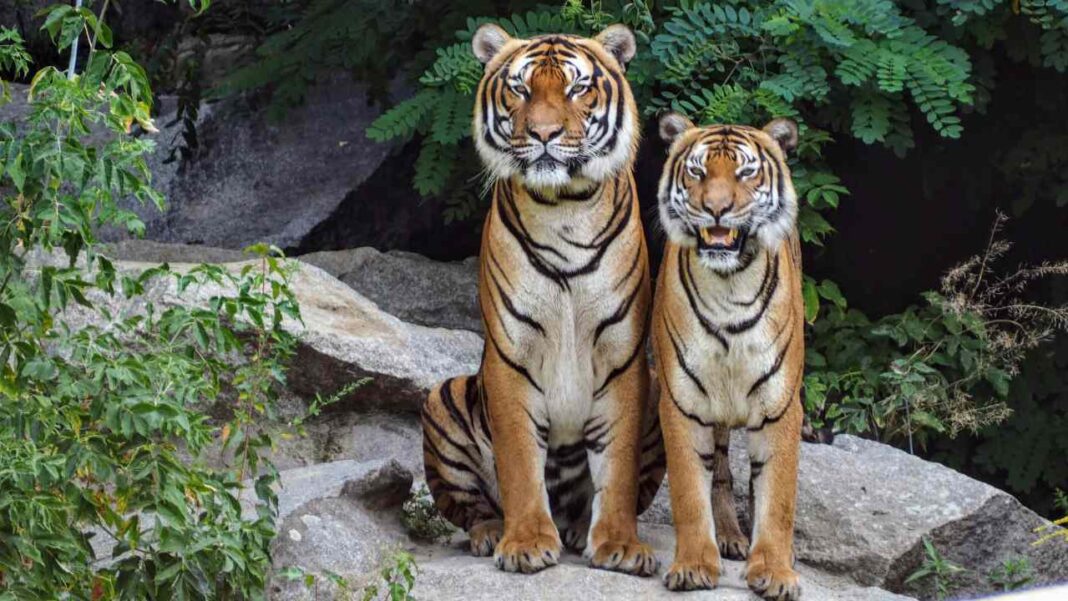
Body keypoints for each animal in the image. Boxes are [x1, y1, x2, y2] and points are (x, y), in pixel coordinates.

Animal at [420, 23, 665, 576]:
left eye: (577, 89)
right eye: (521, 89)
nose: (545, 134)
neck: (564, 207)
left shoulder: (623, 357)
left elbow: (617, 468)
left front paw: (619, 544)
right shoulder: (511, 355)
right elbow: (518, 462)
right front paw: (527, 542)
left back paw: (578, 529)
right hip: (443, 397)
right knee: (470, 507)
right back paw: (492, 532)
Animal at [651, 112, 805, 600]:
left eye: (745, 172)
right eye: (698, 172)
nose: (716, 208)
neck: (729, 287)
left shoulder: (781, 407)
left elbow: (777, 498)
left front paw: (774, 570)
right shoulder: (681, 403)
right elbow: (688, 491)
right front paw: (694, 565)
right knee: (719, 472)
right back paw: (730, 537)